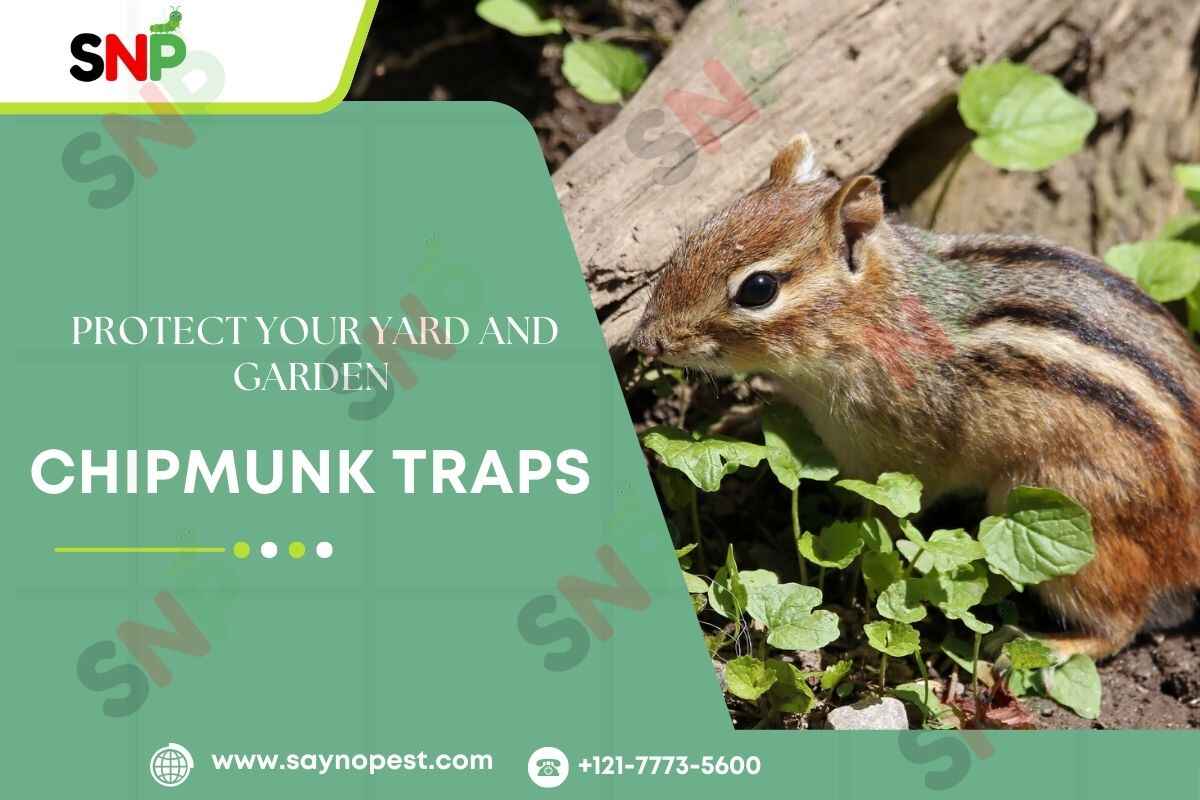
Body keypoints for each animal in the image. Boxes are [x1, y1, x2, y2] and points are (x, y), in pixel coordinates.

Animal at [633, 134, 1200, 660]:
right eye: (701, 230)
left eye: (758, 288)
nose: (646, 340)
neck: (874, 317)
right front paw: (737, 421)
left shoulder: (892, 465)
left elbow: (884, 527)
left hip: (1065, 513)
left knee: (1121, 622)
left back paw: (1046, 647)